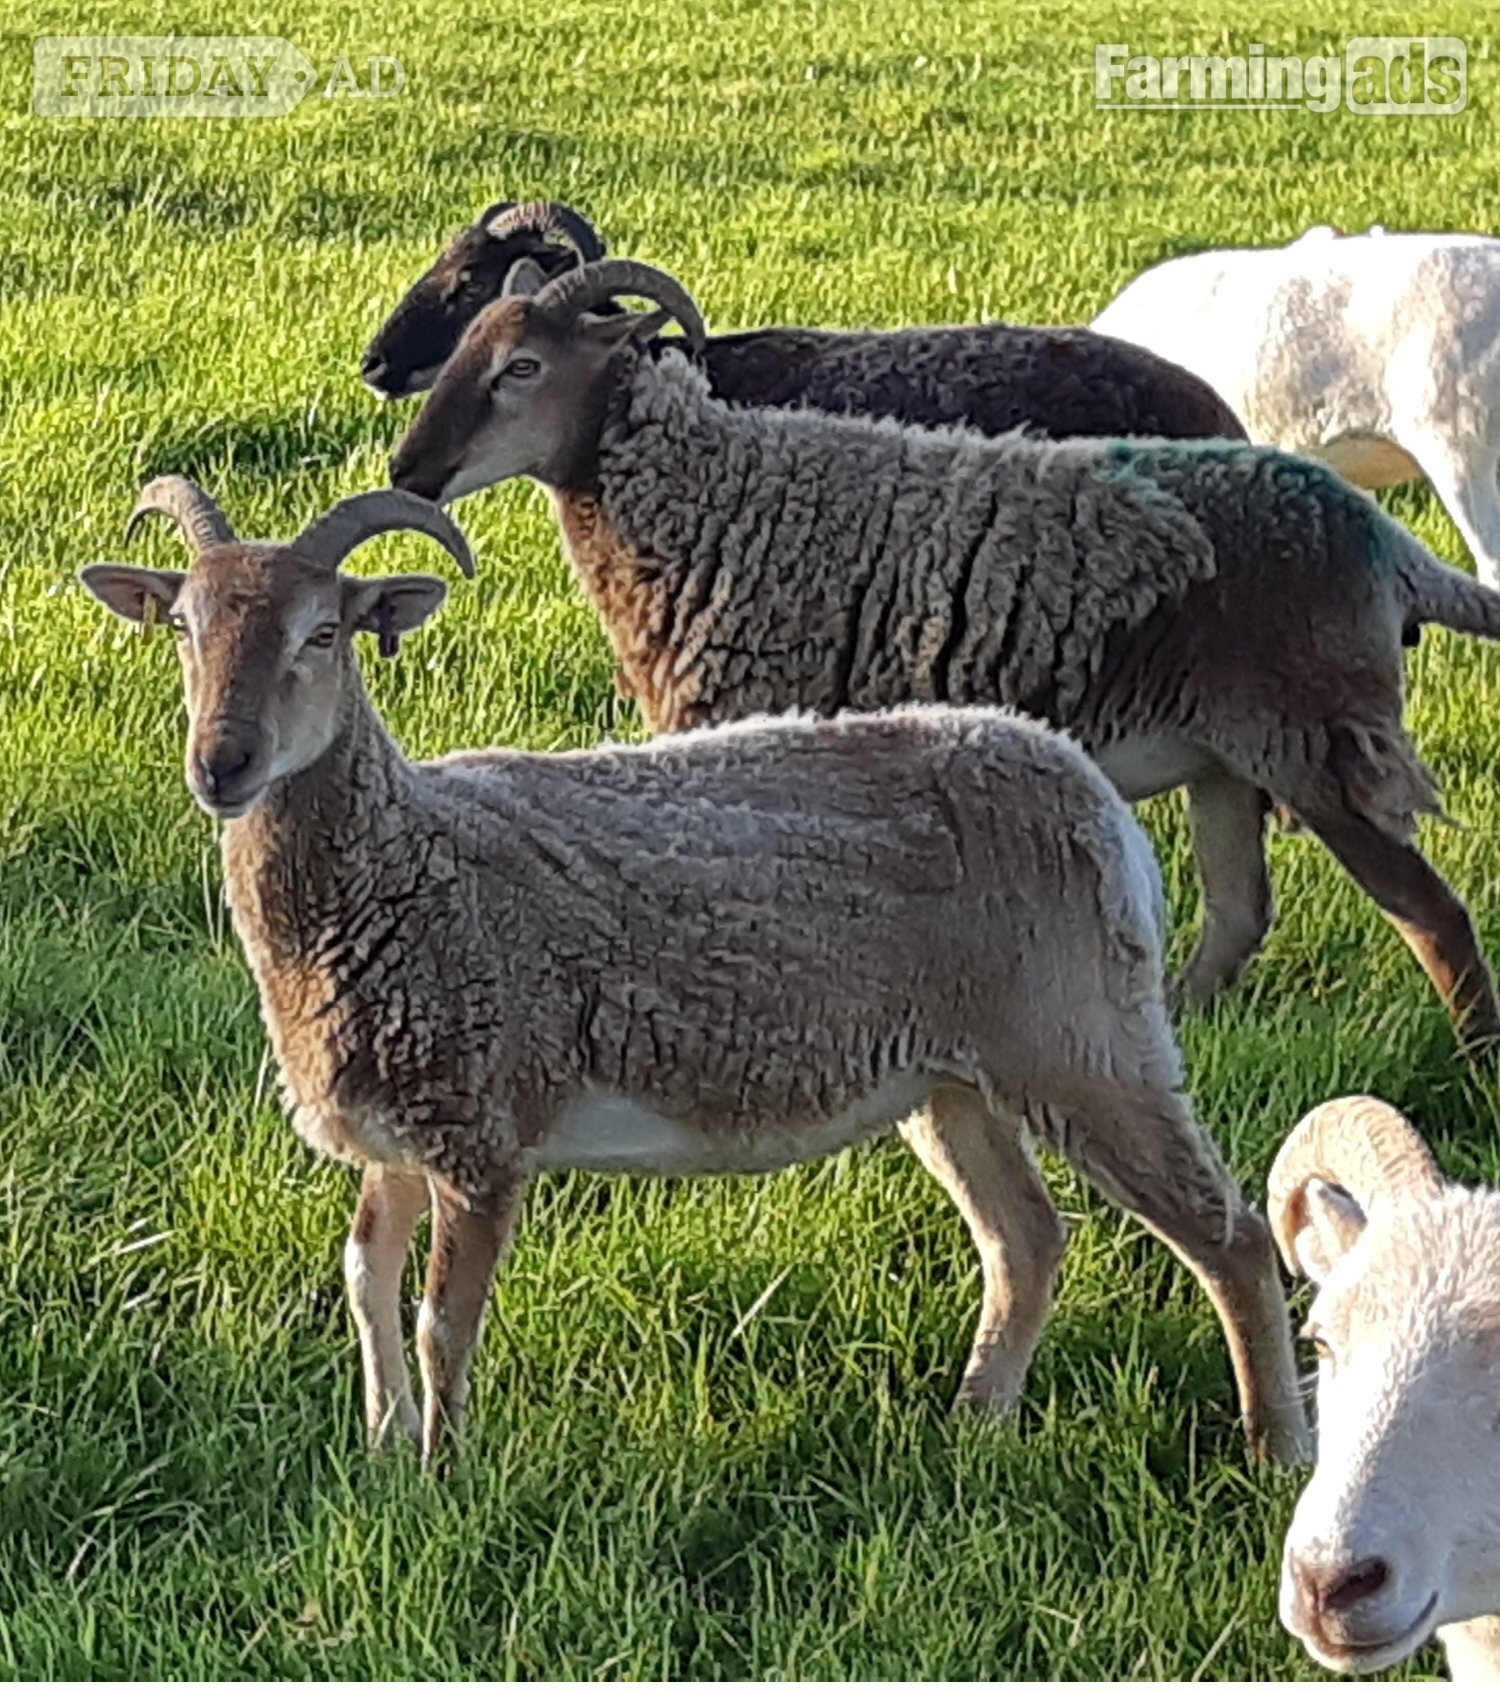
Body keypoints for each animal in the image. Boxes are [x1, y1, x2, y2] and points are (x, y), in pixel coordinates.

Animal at [78, 473, 1312, 1470]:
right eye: (182, 625)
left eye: (325, 631)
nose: (222, 763)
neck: (402, 863)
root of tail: (1088, 792)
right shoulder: (396, 1123)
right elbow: (364, 1279)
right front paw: (385, 1452)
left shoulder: (483, 1127)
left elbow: (439, 1321)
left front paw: (443, 1479)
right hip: (953, 1074)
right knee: (1027, 1239)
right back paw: (976, 1422)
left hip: (1085, 1038)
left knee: (1231, 1236)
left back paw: (1278, 1450)